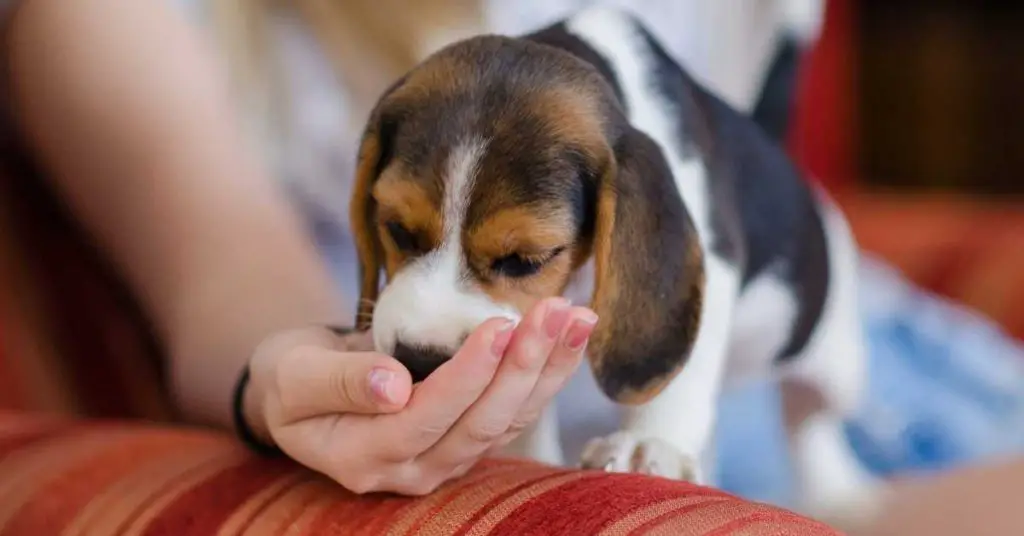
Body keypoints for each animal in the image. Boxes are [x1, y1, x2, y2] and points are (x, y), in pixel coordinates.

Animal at [352, 6, 880, 522]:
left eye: (524, 260)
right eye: (397, 230)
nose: (419, 360)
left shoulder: (712, 259)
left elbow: (682, 377)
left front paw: (652, 441)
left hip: (835, 365)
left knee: (809, 420)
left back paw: (840, 492)